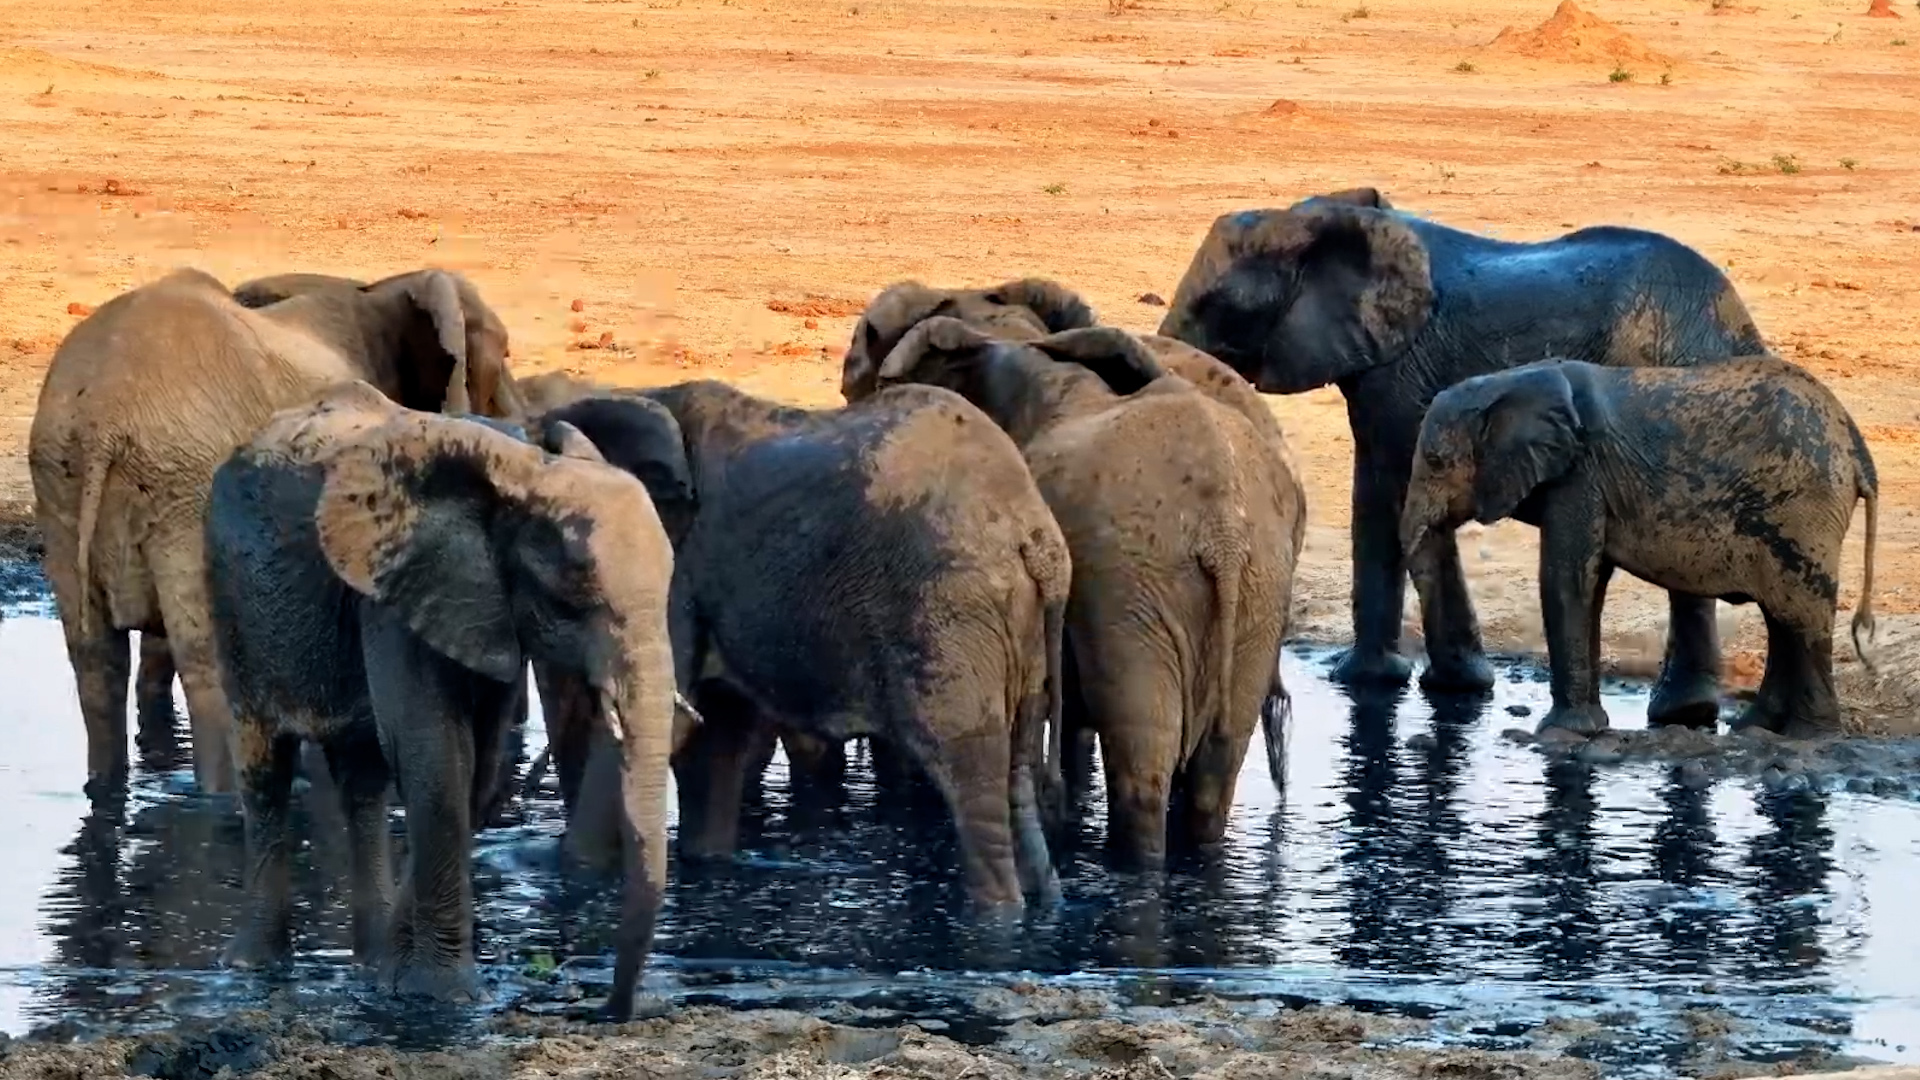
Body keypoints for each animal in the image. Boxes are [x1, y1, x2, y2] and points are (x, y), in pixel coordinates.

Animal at [28, 265, 524, 798]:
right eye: (505, 355)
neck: (382, 287)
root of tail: (100, 417)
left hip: (67, 487)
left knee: (95, 659)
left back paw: (107, 791)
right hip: (186, 481)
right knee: (207, 661)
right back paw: (221, 800)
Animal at [203, 380, 680, 1017]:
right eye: (572, 595)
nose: (612, 1008)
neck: (527, 469)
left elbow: (474, 762)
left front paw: (395, 976)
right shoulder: (397, 590)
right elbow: (435, 752)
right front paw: (443, 998)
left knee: (363, 779)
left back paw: (366, 962)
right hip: (232, 591)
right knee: (265, 768)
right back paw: (252, 969)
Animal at [532, 379, 1068, 914]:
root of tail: (1038, 536)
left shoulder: (671, 572)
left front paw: (572, 875)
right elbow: (716, 734)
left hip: (950, 617)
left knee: (968, 775)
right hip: (1020, 634)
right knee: (1018, 782)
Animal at [1156, 185, 1770, 728]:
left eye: (1222, 306)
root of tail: (1732, 325)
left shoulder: (1402, 371)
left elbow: (1389, 491)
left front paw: (1424, 683)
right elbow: (1377, 494)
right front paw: (1377, 682)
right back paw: (1685, 715)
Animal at [1399, 357, 1878, 738]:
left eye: (1437, 462)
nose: (1432, 680)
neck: (1511, 382)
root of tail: (1857, 448)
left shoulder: (1580, 474)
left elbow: (1565, 579)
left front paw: (1559, 733)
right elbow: (1590, 583)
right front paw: (1590, 729)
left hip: (1802, 509)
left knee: (1803, 618)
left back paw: (1809, 737)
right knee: (1783, 618)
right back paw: (1755, 729)